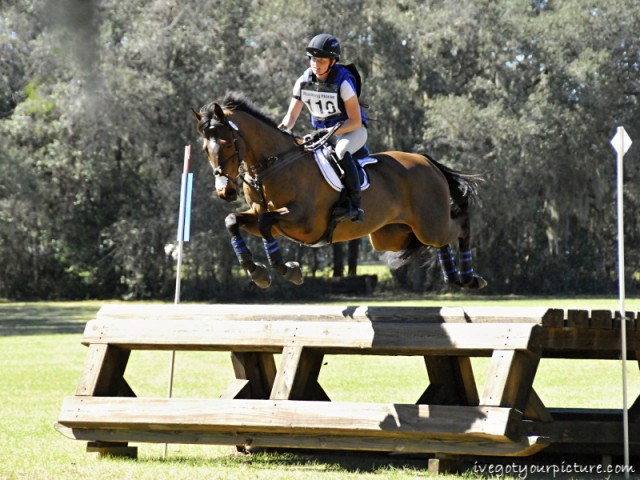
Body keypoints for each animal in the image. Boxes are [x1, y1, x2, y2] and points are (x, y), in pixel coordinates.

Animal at [192, 92, 488, 290]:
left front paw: (286, 270)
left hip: (428, 223)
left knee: (460, 226)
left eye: (228, 143)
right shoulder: (265, 218)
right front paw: (257, 272)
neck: (272, 166)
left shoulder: (304, 222)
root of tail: (426, 161)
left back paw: (470, 278)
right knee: (439, 240)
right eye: (205, 149)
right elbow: (234, 220)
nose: (225, 192)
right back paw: (452, 276)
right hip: (393, 235)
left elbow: (266, 222)